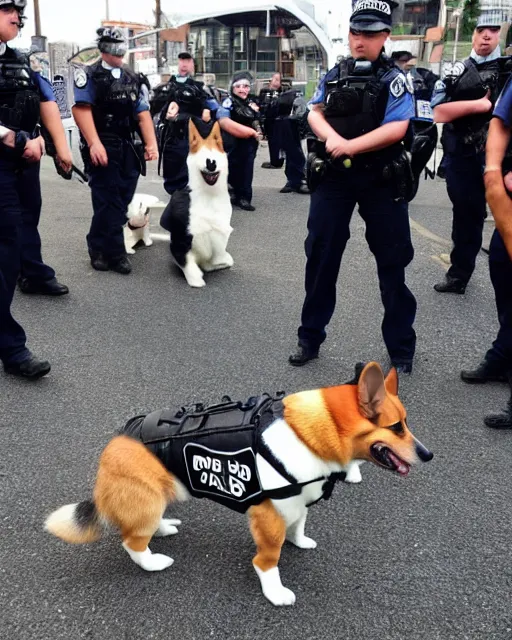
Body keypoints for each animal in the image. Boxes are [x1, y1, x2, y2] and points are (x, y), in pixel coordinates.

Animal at [46, 362, 434, 608]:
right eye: (397, 427)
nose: (429, 455)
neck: (313, 435)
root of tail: (114, 443)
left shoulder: (297, 504)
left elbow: (299, 526)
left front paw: (300, 541)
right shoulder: (269, 516)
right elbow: (268, 560)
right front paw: (276, 593)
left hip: (159, 494)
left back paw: (164, 528)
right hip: (146, 502)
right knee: (131, 541)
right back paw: (153, 561)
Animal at [161, 119, 233, 288]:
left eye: (216, 147)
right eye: (197, 150)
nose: (211, 163)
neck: (209, 196)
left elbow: (221, 257)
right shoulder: (182, 240)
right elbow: (187, 263)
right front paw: (196, 280)